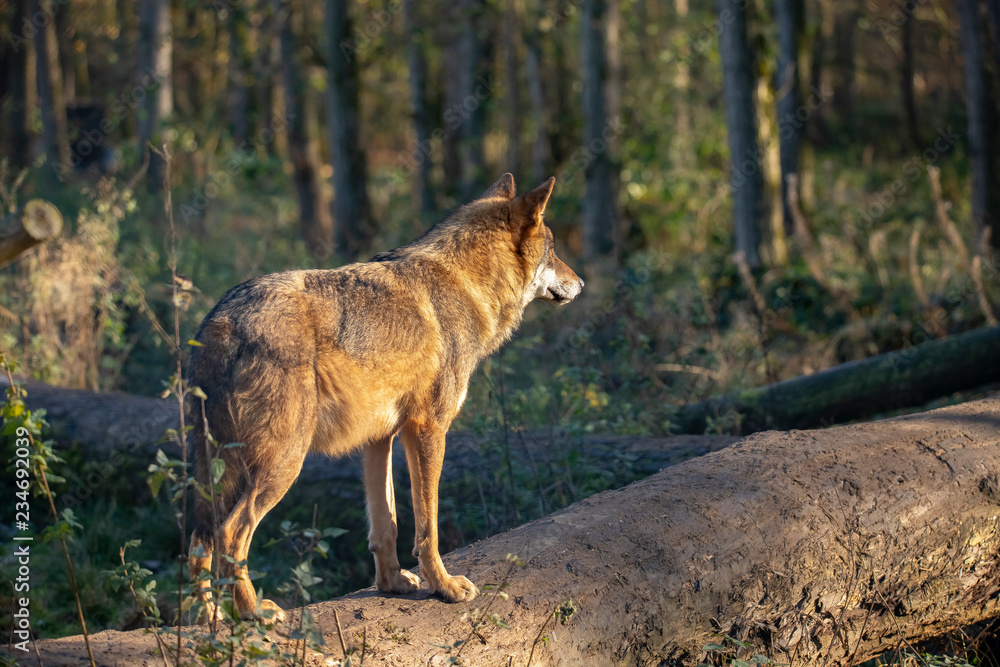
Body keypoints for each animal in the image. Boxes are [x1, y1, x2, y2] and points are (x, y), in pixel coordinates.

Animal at [187, 174, 584, 621]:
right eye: (554, 251)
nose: (582, 283)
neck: (467, 285)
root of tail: (221, 320)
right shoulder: (428, 429)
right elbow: (427, 524)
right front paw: (444, 586)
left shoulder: (379, 438)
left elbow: (386, 523)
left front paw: (392, 584)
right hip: (282, 464)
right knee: (231, 534)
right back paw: (253, 612)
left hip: (219, 472)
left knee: (197, 542)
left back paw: (209, 619)